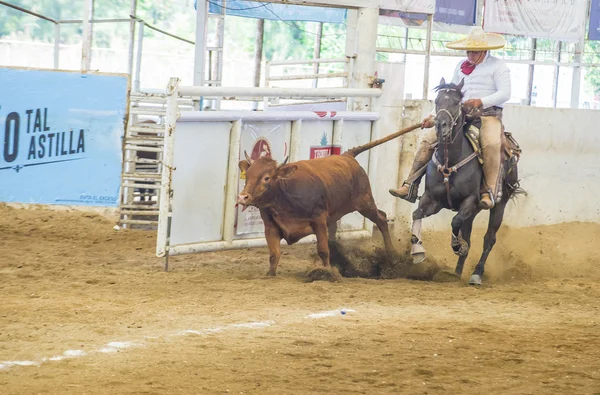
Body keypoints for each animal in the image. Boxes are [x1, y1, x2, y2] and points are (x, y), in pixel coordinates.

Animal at [237, 123, 420, 276]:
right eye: (248, 175)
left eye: (266, 178)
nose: (242, 197)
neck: (286, 196)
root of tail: (347, 156)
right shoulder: (270, 226)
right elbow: (274, 254)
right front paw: (270, 274)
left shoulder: (319, 219)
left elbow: (323, 249)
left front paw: (327, 272)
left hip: (364, 202)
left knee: (381, 218)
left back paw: (392, 256)